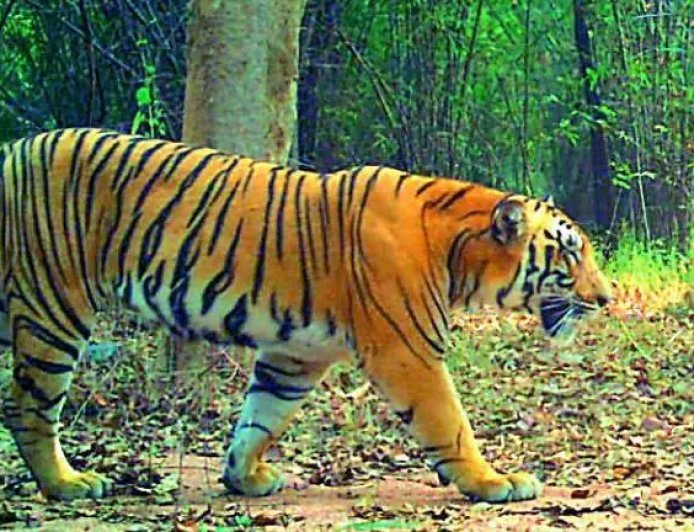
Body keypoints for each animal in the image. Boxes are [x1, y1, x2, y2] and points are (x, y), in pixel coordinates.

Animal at [0, 128, 612, 502]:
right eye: (571, 253)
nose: (607, 298)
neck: (459, 255)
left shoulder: (295, 354)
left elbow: (260, 417)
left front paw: (243, 477)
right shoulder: (407, 351)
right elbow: (450, 423)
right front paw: (493, 481)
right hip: (54, 305)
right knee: (28, 407)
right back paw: (67, 484)